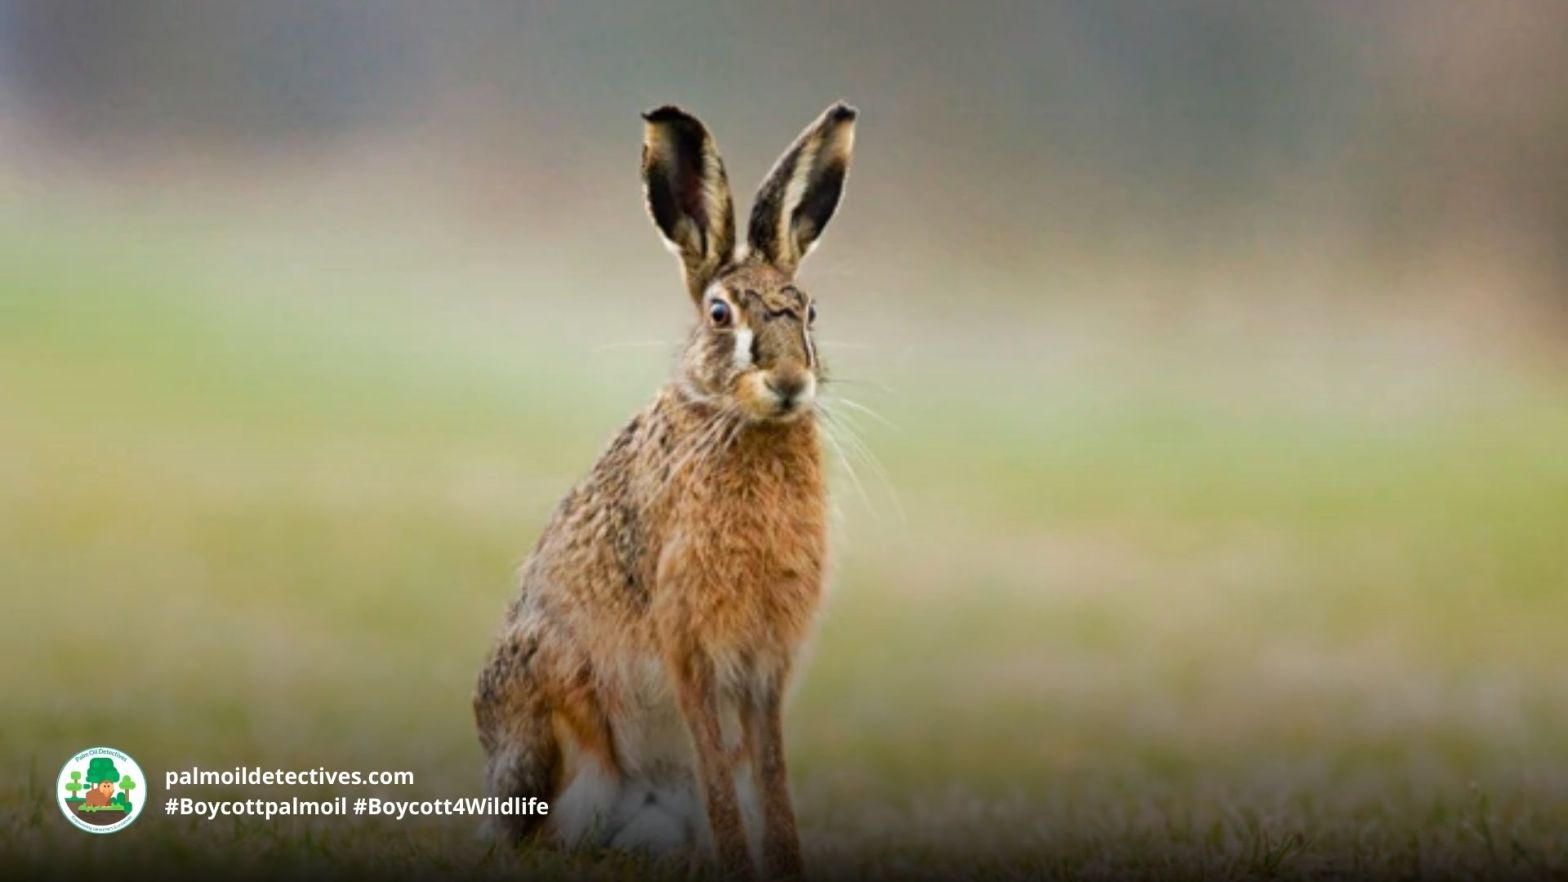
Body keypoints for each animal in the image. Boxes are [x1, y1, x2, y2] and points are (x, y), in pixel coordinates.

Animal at [473, 102, 857, 879]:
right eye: (720, 315)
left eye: (810, 313)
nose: (789, 383)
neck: (740, 425)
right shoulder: (690, 647)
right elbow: (716, 766)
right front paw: (739, 863)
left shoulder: (765, 665)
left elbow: (770, 771)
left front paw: (784, 863)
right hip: (552, 708)